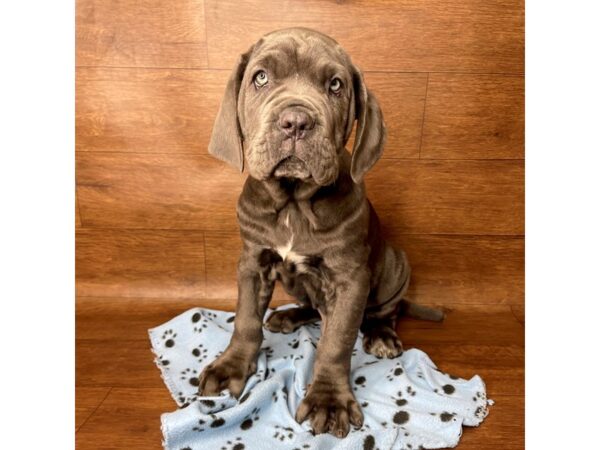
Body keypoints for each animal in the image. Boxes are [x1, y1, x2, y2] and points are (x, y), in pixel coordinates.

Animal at [199, 27, 442, 436]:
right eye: (260, 77)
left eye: (335, 85)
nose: (296, 121)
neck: (294, 204)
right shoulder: (252, 262)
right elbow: (246, 318)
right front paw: (231, 366)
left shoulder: (350, 279)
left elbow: (337, 340)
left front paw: (329, 400)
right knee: (315, 307)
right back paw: (289, 317)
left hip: (396, 264)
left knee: (380, 311)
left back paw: (381, 335)